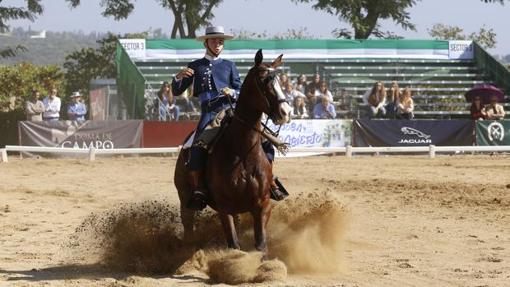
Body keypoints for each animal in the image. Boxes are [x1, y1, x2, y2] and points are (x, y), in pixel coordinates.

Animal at [174, 50, 290, 255]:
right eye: (263, 81)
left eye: (280, 81)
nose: (286, 112)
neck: (243, 154)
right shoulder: (224, 207)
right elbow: (234, 244)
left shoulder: (262, 205)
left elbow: (261, 245)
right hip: (185, 197)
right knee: (188, 227)